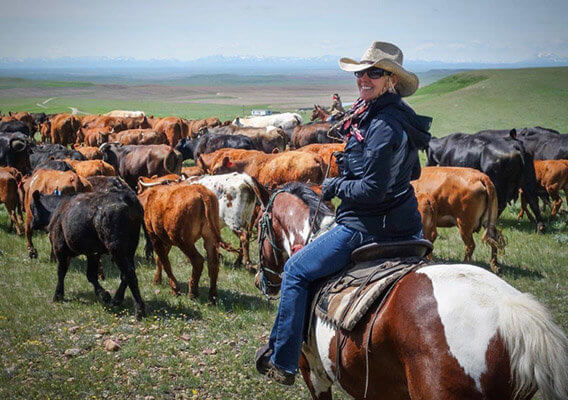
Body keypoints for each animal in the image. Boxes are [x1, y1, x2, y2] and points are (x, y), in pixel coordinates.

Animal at [29, 188, 146, 318]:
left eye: (32, 207)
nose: (31, 224)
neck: (57, 209)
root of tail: (125, 197)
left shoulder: (60, 250)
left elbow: (61, 272)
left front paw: (58, 296)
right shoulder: (92, 253)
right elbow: (91, 275)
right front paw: (104, 295)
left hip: (116, 249)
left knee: (129, 273)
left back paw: (139, 310)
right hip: (129, 249)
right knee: (126, 274)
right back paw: (117, 300)